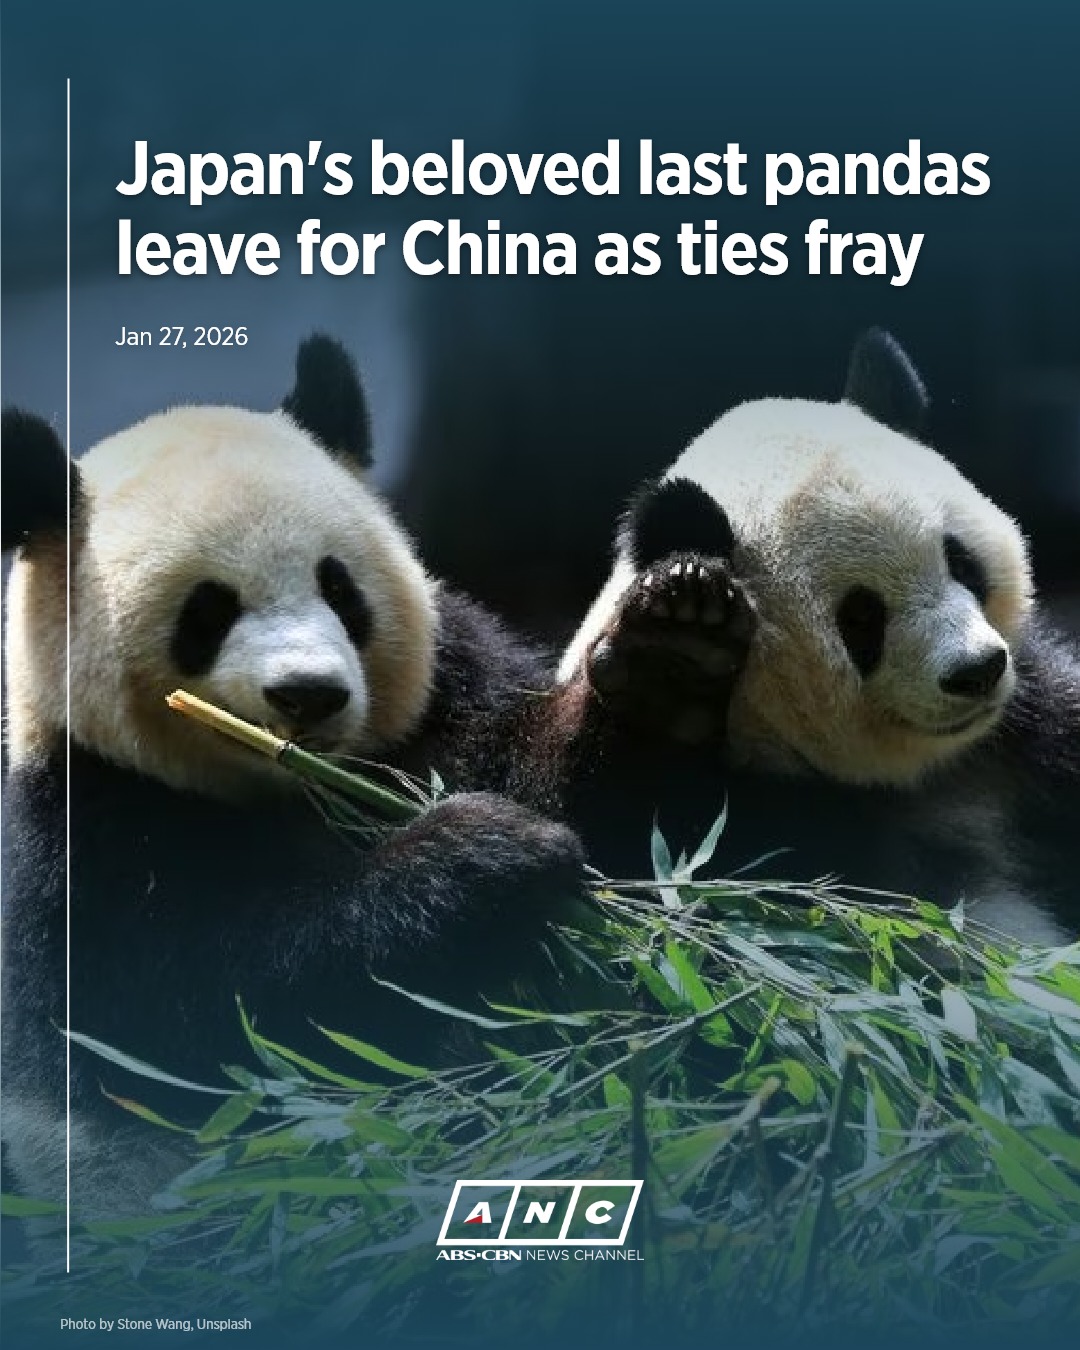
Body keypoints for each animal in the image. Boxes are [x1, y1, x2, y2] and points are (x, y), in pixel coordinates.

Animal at [1, 334, 585, 1219]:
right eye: (206, 612)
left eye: (338, 587)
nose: (309, 693)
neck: (300, 789)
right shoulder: (76, 837)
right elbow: (209, 1014)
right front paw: (482, 853)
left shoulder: (448, 699)